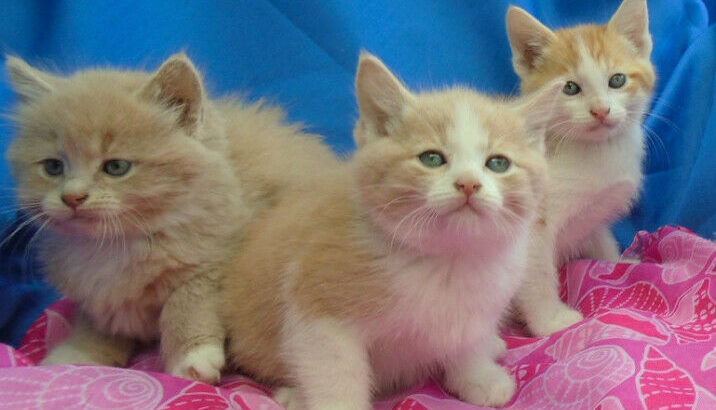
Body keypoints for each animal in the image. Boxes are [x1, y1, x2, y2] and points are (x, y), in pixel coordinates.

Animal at [504, 0, 656, 334]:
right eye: (570, 88)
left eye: (617, 80)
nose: (600, 110)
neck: (594, 151)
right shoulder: (529, 226)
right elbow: (535, 272)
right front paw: (550, 321)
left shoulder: (591, 209)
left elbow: (599, 235)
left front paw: (618, 262)